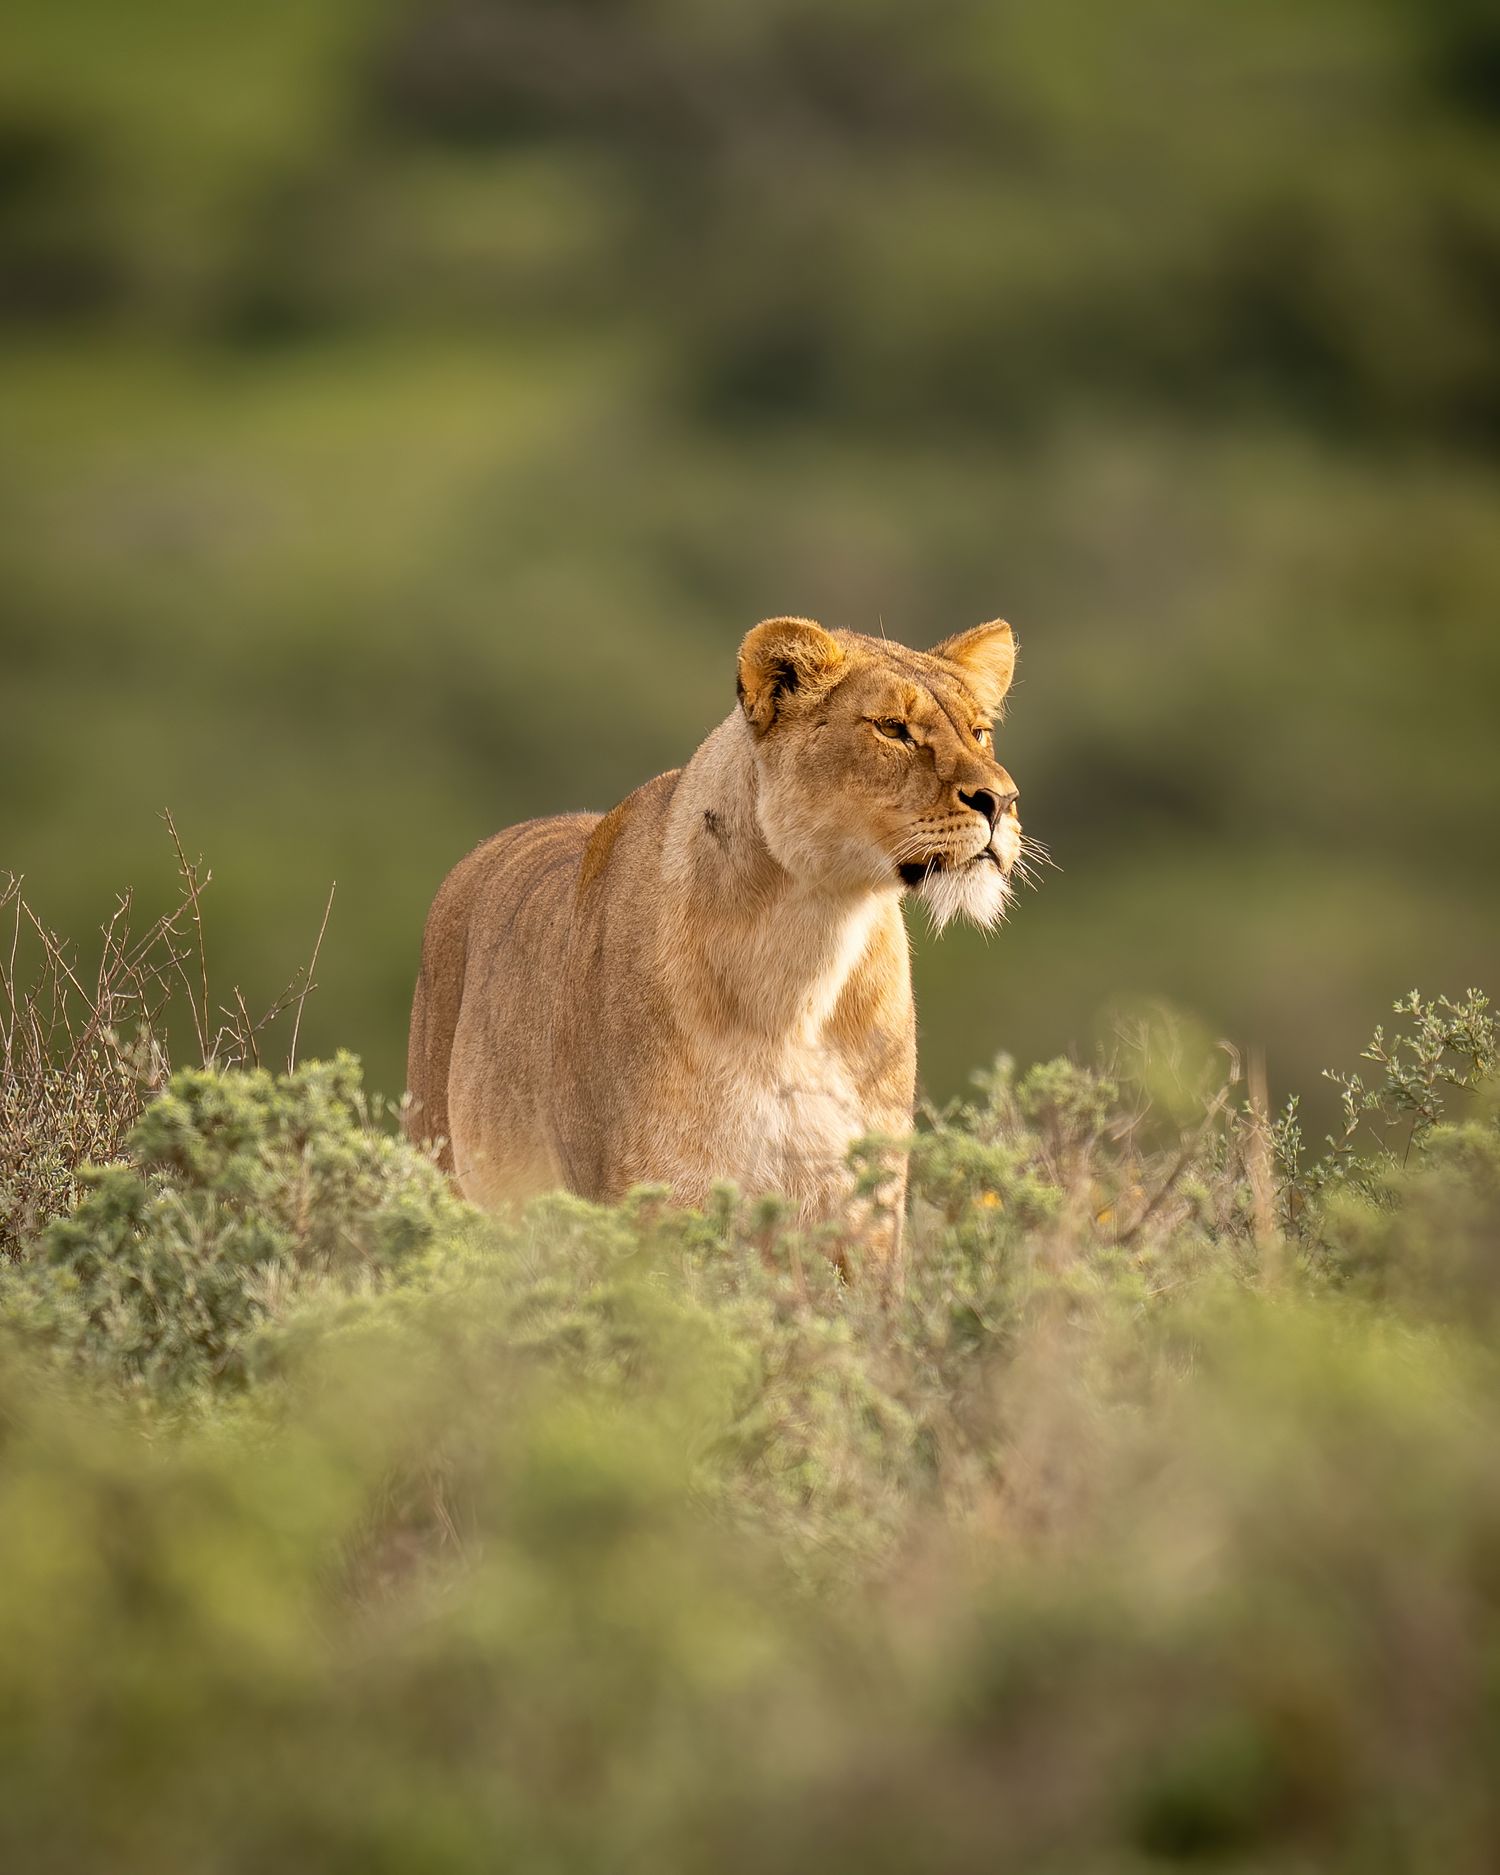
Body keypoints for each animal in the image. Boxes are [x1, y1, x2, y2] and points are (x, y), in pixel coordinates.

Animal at [405, 617, 1024, 1262]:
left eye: (980, 732)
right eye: (892, 728)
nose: (1002, 801)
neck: (809, 945)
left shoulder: (865, 1210)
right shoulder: (658, 1198)